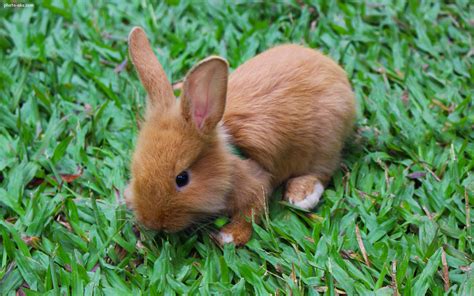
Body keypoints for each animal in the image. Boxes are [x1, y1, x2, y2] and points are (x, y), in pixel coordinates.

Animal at [124, 27, 354, 245]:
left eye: (182, 178)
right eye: (135, 168)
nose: (152, 222)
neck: (229, 163)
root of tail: (337, 74)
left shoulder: (257, 184)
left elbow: (250, 214)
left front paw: (229, 237)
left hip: (324, 144)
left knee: (322, 171)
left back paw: (301, 196)